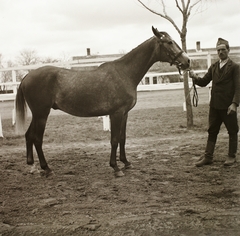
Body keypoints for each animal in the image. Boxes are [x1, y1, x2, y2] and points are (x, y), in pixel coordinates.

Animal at [15, 26, 190, 176]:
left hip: (37, 114)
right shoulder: (116, 113)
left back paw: (32, 166)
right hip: (42, 114)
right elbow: (114, 140)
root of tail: (27, 76)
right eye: (169, 42)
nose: (187, 61)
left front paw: (126, 163)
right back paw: (47, 168)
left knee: (29, 135)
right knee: (37, 139)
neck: (124, 73)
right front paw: (116, 168)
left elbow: (122, 138)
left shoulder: (125, 114)